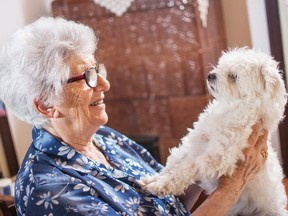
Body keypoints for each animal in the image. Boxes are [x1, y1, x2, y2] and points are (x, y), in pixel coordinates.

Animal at [141, 48, 288, 215]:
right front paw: (154, 179)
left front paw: (162, 185)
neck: (230, 109)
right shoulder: (194, 143)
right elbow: (175, 162)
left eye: (233, 76)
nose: (211, 75)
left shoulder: (218, 156)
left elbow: (188, 167)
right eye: (220, 65)